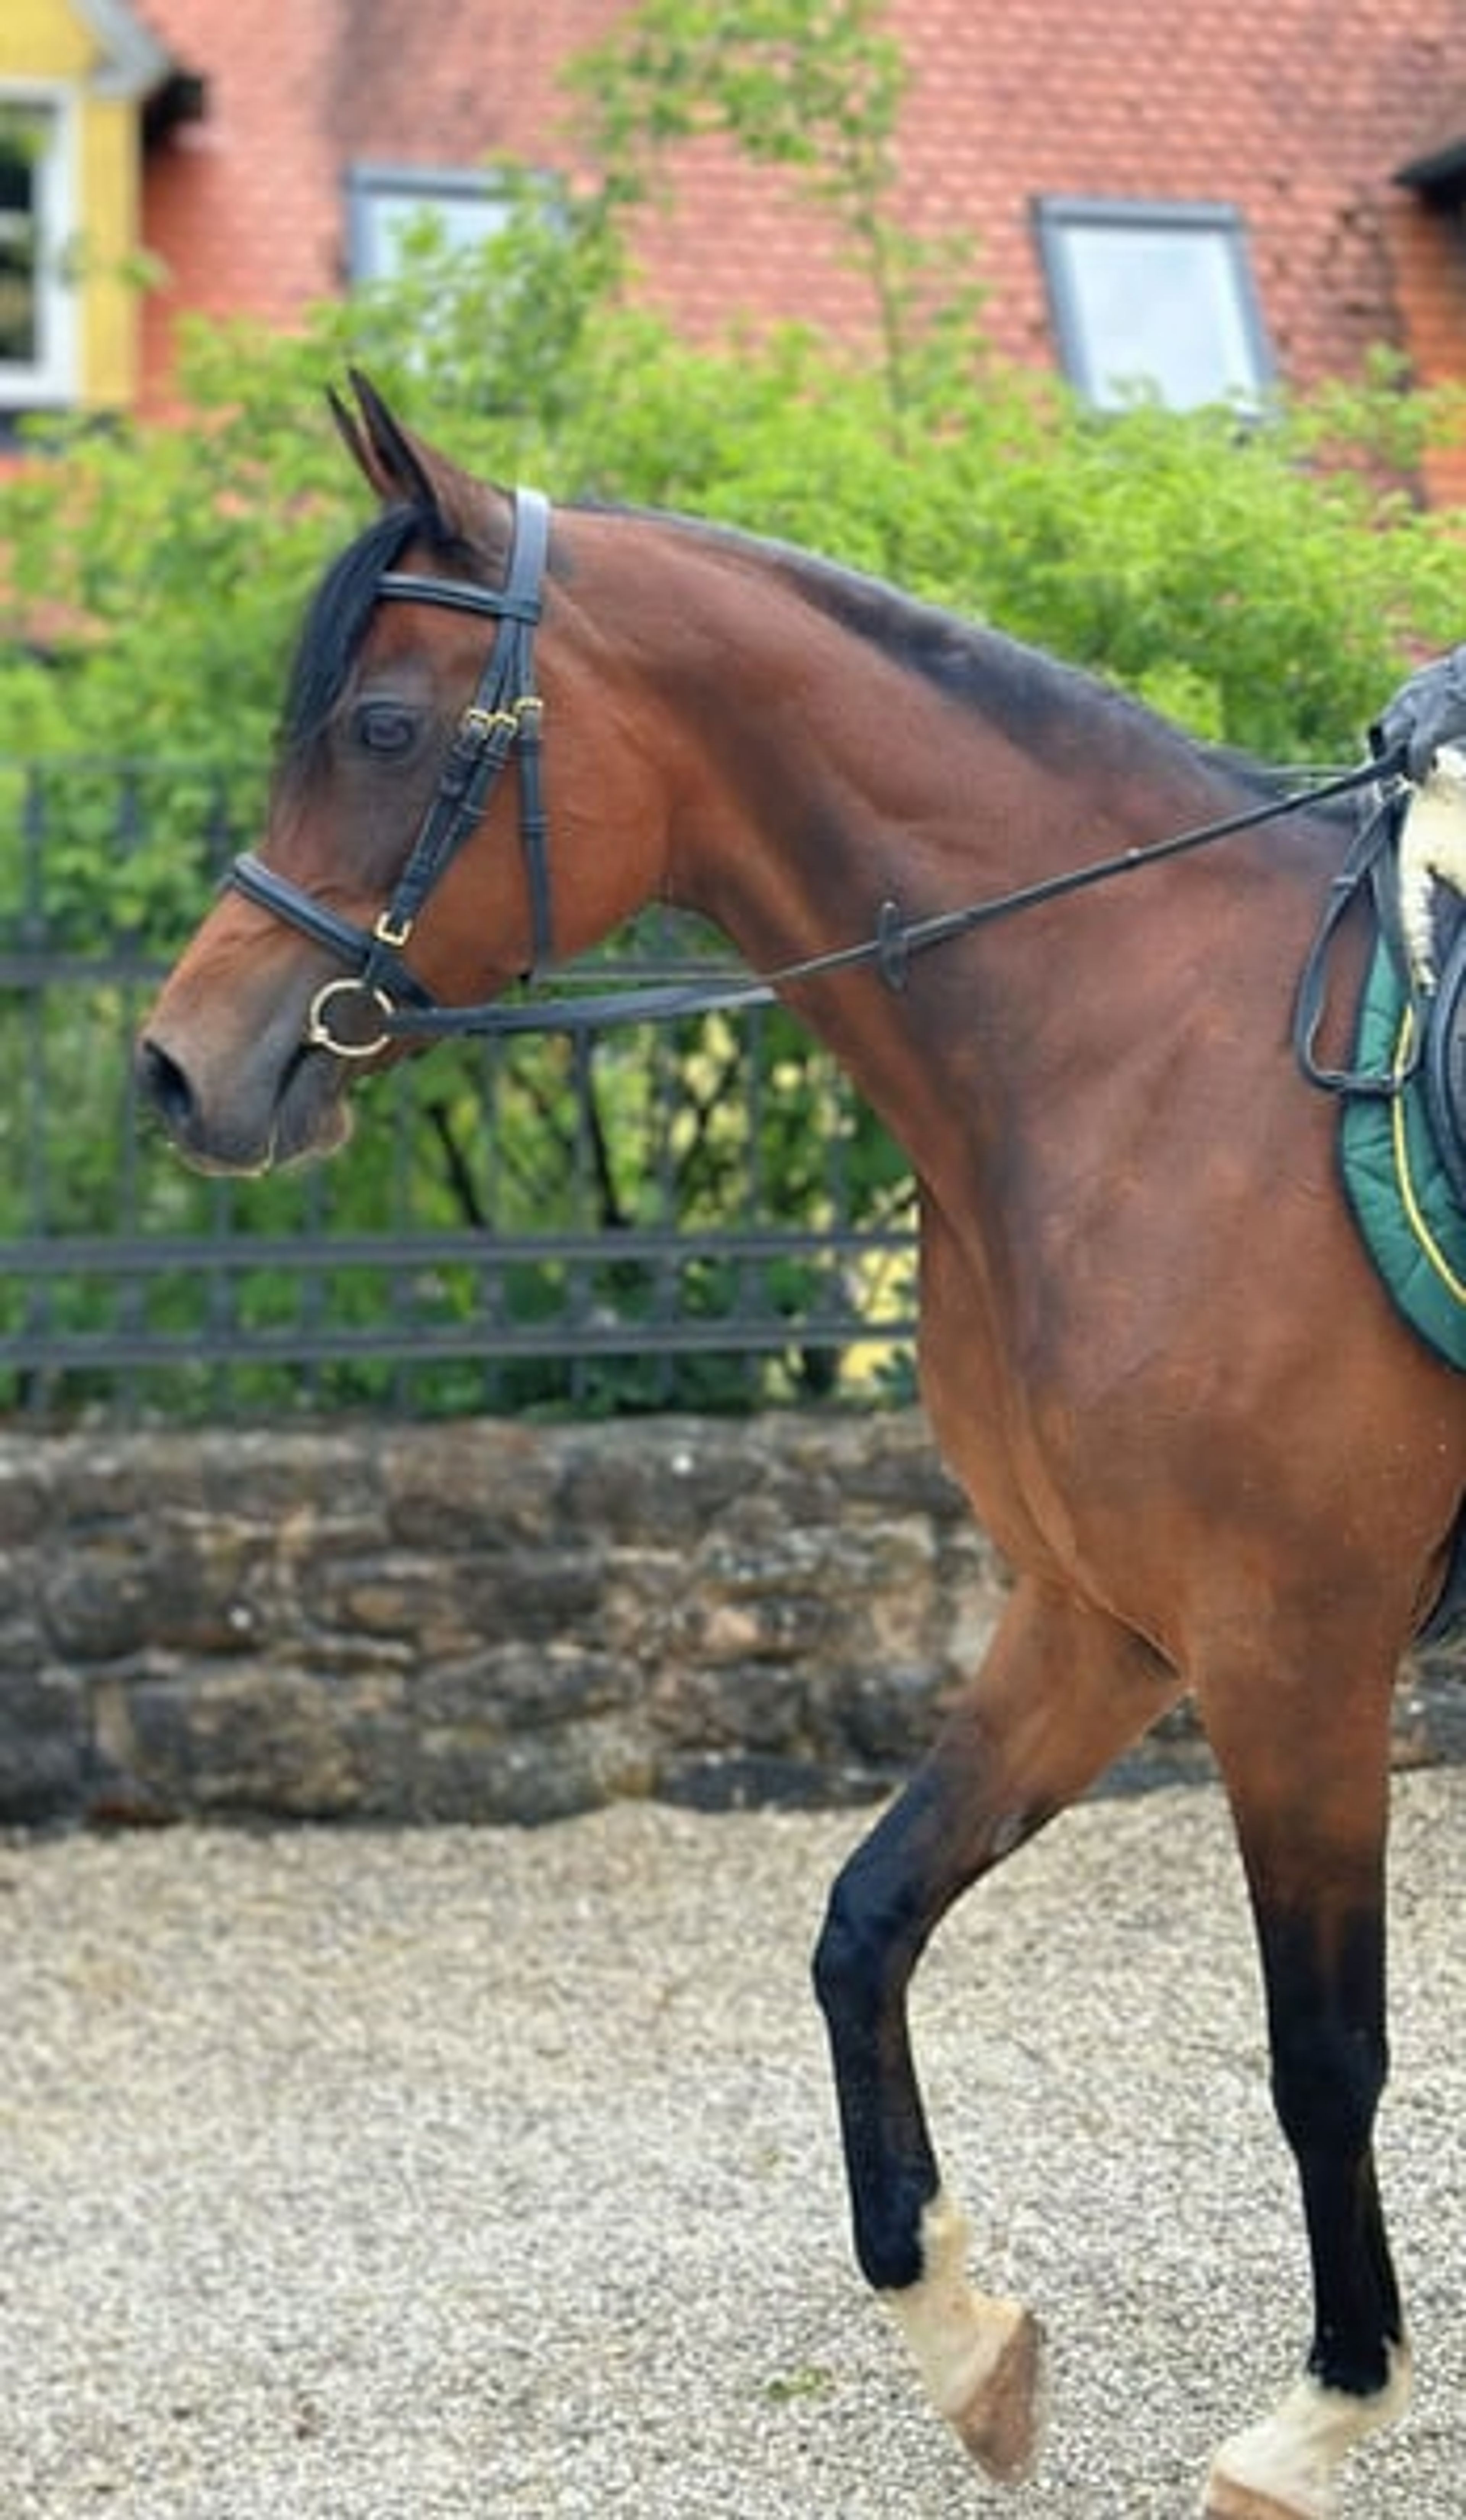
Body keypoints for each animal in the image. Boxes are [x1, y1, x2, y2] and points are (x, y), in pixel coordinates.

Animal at [135, 373, 1466, 2520]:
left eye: (388, 729)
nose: (183, 1068)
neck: (1137, 1054)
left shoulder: (1293, 1647)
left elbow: (1321, 2043)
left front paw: (1325, 2406)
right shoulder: (1100, 1620)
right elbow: (864, 1922)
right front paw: (965, 2337)